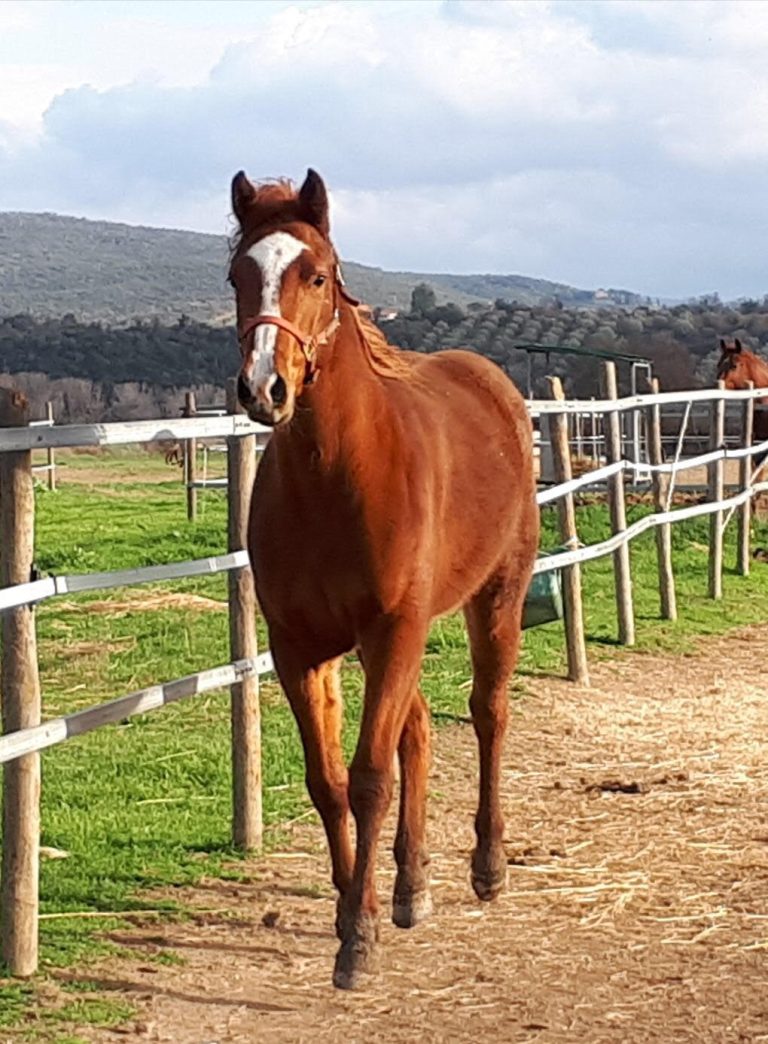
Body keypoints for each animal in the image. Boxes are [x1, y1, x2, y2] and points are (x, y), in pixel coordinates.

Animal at [228, 169, 539, 989]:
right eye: (238, 273)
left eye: (317, 274)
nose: (265, 388)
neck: (336, 476)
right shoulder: (300, 648)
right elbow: (328, 781)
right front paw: (353, 906)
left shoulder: (395, 627)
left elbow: (370, 776)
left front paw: (358, 942)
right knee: (422, 728)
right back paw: (412, 885)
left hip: (495, 599)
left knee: (488, 714)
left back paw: (487, 866)